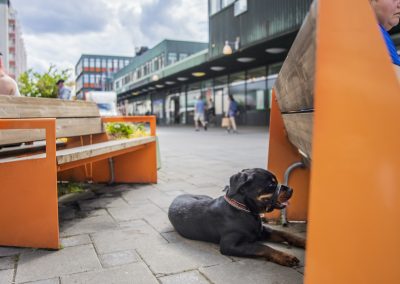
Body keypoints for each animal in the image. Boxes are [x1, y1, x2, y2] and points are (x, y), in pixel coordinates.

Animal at [167, 169, 304, 266]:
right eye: (271, 184)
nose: (291, 189)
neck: (245, 210)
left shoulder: (262, 231)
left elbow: (285, 233)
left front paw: (303, 241)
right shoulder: (229, 245)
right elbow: (262, 246)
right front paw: (286, 257)